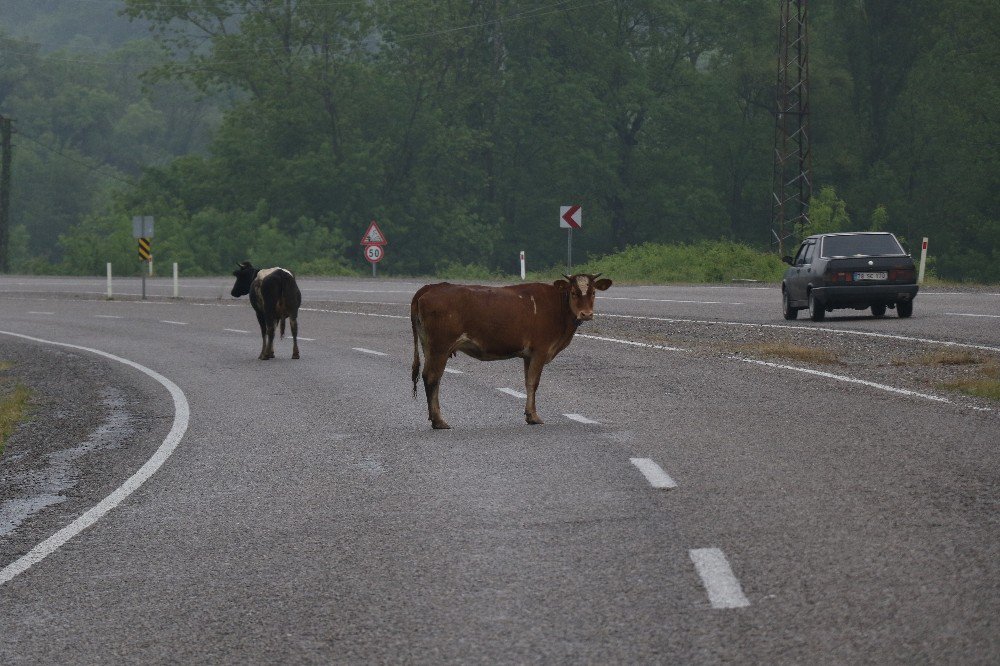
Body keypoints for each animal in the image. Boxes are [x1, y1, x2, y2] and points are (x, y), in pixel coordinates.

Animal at [408, 272, 608, 428]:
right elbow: (533, 383)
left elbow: (528, 382)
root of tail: (431, 287)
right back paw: (438, 421)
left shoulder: (528, 355)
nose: (586, 314)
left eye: (593, 293)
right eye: (574, 293)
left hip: (429, 347)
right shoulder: (540, 350)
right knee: (432, 378)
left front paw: (529, 415)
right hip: (440, 347)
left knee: (430, 377)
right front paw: (534, 416)